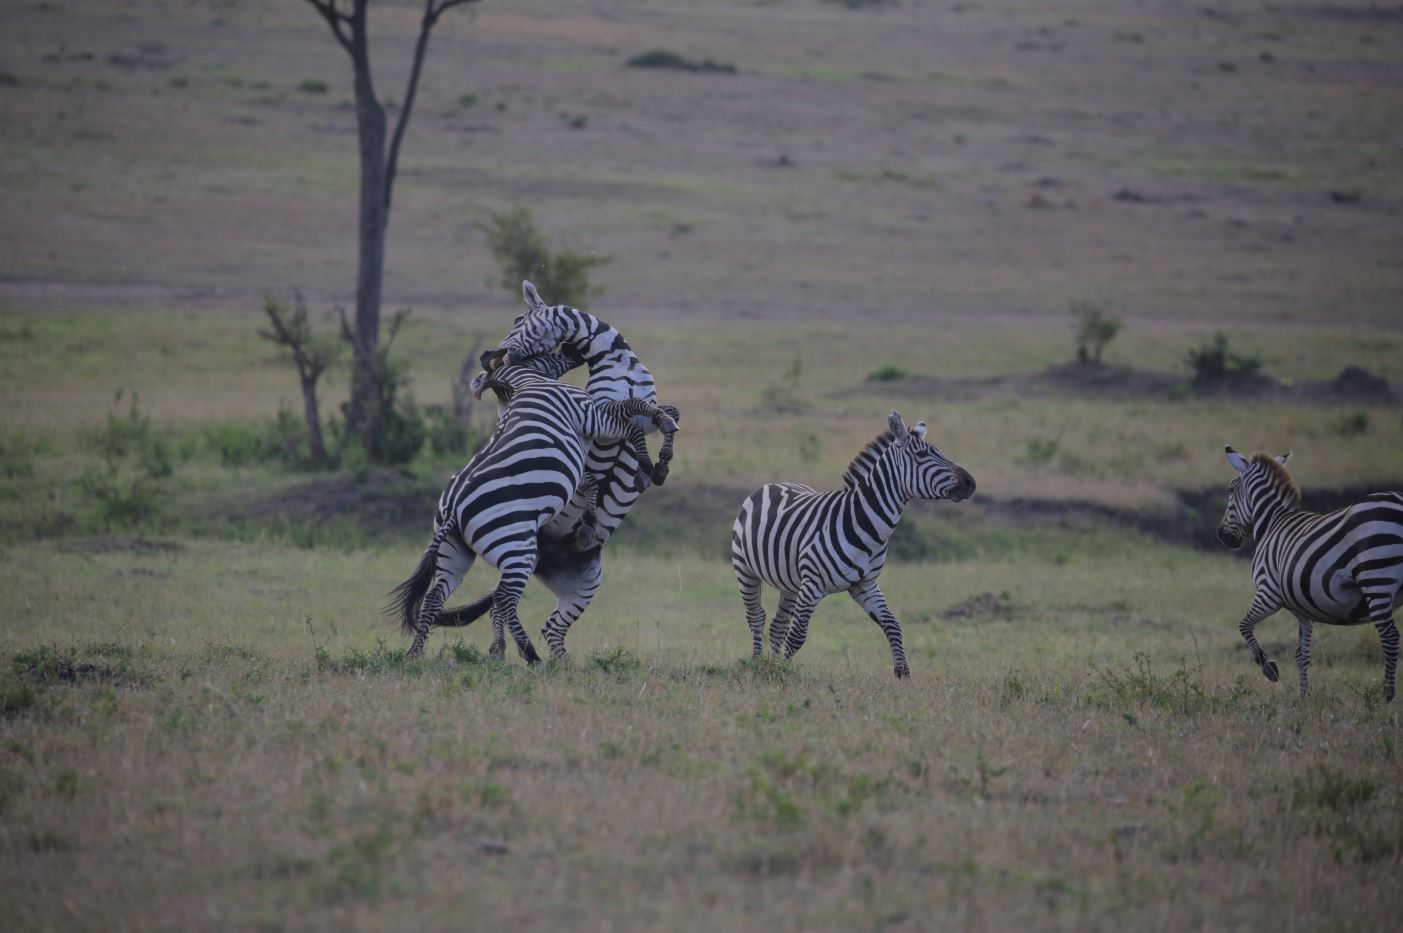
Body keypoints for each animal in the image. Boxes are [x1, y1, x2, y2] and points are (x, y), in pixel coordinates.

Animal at [389, 363, 678, 662]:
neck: (528, 381)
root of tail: (454, 509)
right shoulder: (590, 415)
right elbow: (632, 415)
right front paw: (654, 451)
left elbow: (591, 478)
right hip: (516, 547)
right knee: (504, 600)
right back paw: (530, 655)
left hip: (456, 552)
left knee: (438, 597)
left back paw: (417, 653)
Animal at [731, 411, 975, 678]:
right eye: (922, 455)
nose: (970, 483)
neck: (864, 524)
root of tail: (775, 484)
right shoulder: (813, 584)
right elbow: (797, 635)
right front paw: (784, 674)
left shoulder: (865, 585)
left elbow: (893, 624)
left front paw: (902, 673)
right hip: (746, 570)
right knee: (757, 617)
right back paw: (756, 664)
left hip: (791, 582)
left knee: (777, 624)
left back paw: (769, 665)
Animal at [1218, 446, 1403, 701]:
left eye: (1230, 489)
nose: (1221, 535)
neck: (1273, 522)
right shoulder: (1301, 607)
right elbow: (1301, 654)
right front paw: (1303, 697)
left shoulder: (1269, 591)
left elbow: (1244, 625)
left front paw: (1269, 668)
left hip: (1376, 578)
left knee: (1390, 638)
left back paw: (1387, 698)